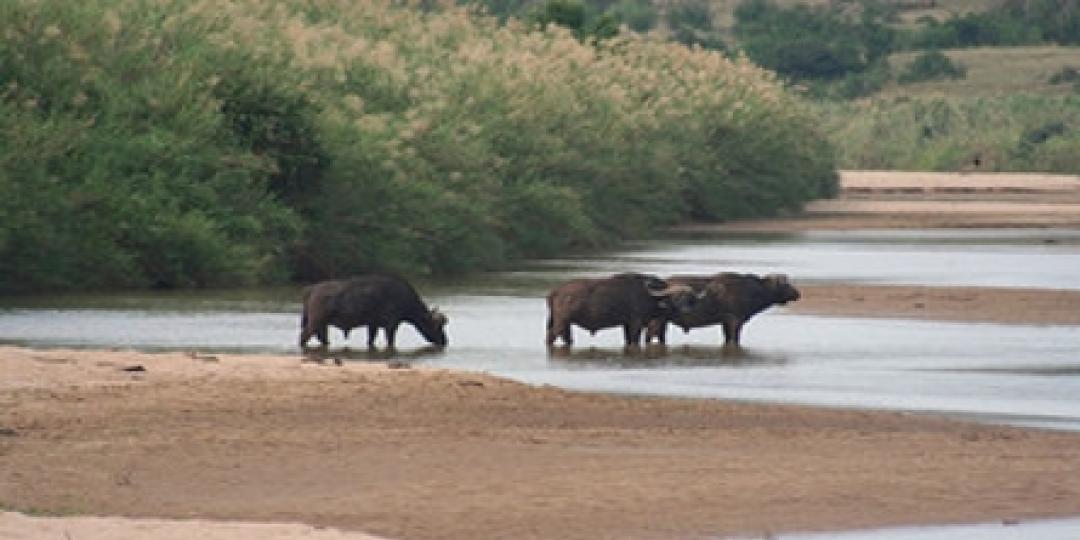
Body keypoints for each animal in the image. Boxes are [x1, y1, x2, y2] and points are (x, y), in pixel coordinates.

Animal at [298, 274, 444, 349]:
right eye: (437, 326)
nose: (444, 341)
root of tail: (312, 289)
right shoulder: (391, 326)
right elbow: (390, 341)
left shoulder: (373, 325)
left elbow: (370, 340)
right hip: (315, 322)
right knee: (303, 337)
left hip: (322, 325)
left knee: (322, 338)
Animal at [544, 272, 704, 347]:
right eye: (676, 297)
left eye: (689, 298)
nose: (686, 309)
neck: (650, 296)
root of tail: (556, 291)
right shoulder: (636, 323)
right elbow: (634, 340)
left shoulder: (626, 323)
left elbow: (627, 340)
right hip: (561, 321)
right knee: (552, 336)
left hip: (567, 323)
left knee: (566, 337)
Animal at [643, 272, 799, 347]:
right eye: (786, 284)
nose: (797, 293)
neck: (751, 290)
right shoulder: (735, 321)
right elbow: (734, 339)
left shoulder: (725, 322)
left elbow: (727, 338)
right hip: (657, 321)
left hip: (663, 323)